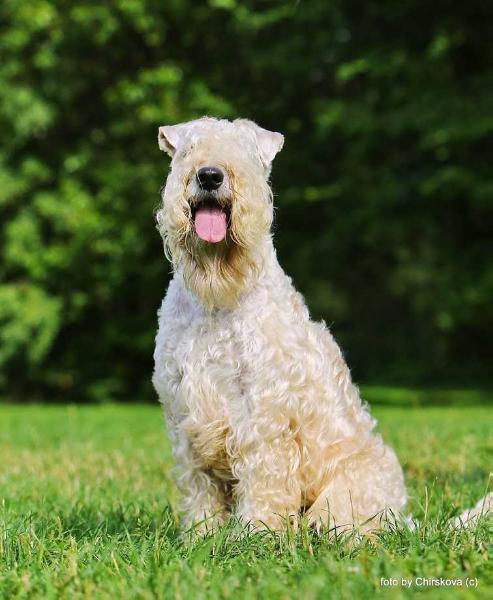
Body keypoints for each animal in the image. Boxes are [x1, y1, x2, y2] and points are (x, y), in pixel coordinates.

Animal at [153, 117, 488, 536]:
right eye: (188, 149)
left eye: (245, 152)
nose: (210, 175)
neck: (217, 300)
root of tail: (404, 520)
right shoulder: (184, 411)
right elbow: (200, 487)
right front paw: (202, 536)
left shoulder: (263, 413)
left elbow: (263, 480)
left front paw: (256, 534)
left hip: (348, 496)